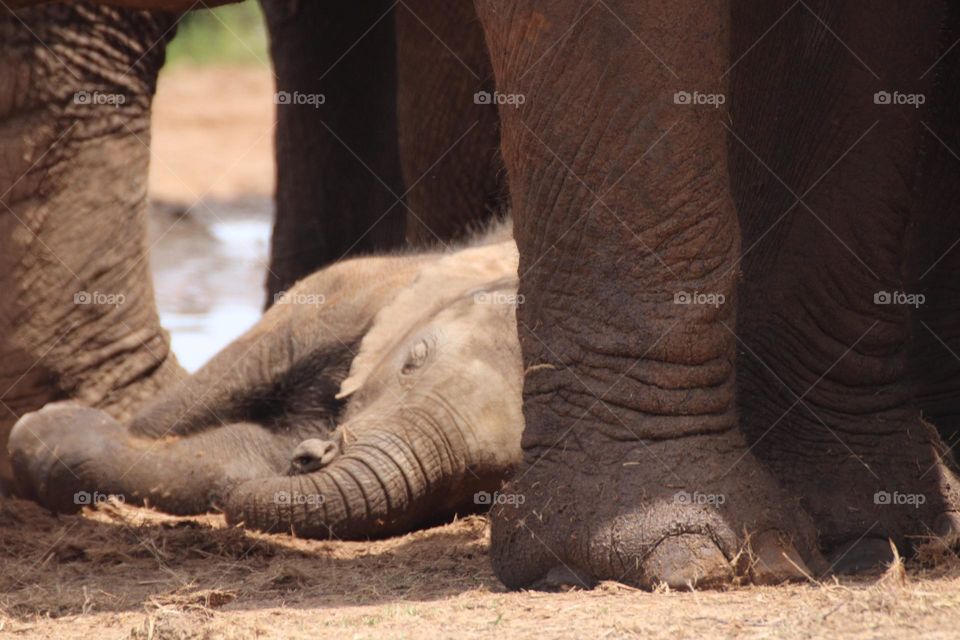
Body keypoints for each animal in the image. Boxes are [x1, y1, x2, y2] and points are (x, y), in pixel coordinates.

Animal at [9, 226, 524, 539]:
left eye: (489, 479)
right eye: (412, 362)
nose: (312, 455)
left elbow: (230, 462)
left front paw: (48, 435)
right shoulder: (342, 299)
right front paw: (45, 429)